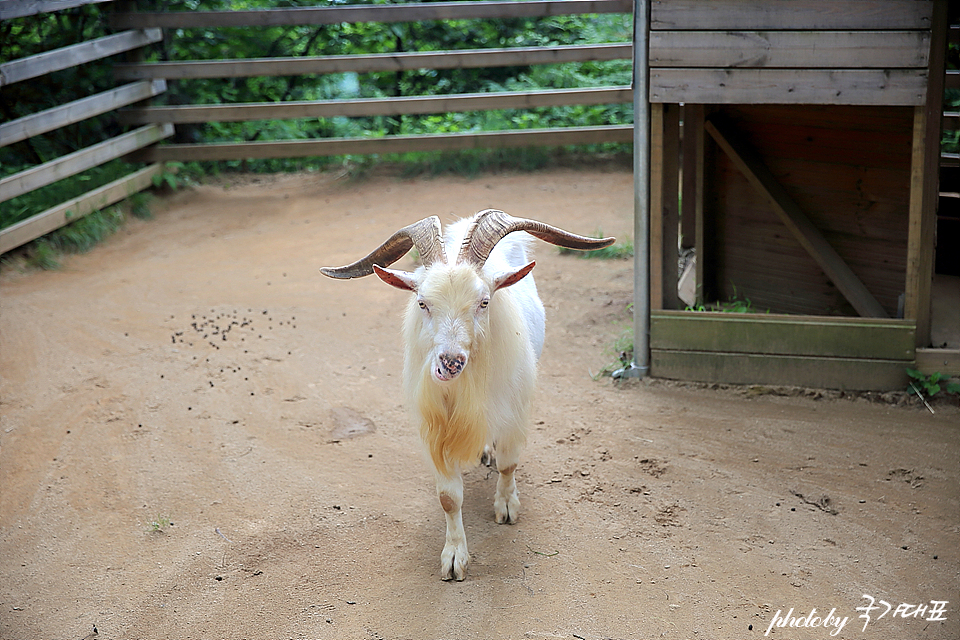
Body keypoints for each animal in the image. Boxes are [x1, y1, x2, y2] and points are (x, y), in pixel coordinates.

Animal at [318, 210, 612, 580]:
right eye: (423, 303)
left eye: (484, 302)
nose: (450, 362)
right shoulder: (435, 430)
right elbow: (448, 498)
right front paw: (454, 558)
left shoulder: (514, 411)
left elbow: (509, 464)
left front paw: (507, 507)